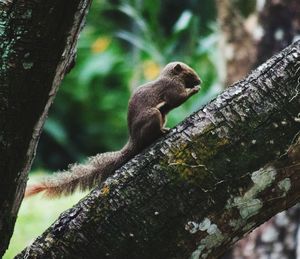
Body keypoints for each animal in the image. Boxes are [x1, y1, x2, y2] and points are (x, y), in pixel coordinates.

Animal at [25, 62, 202, 198]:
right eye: (189, 72)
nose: (199, 80)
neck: (170, 77)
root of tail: (133, 140)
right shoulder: (171, 88)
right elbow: (178, 99)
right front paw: (194, 90)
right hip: (153, 115)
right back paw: (162, 132)